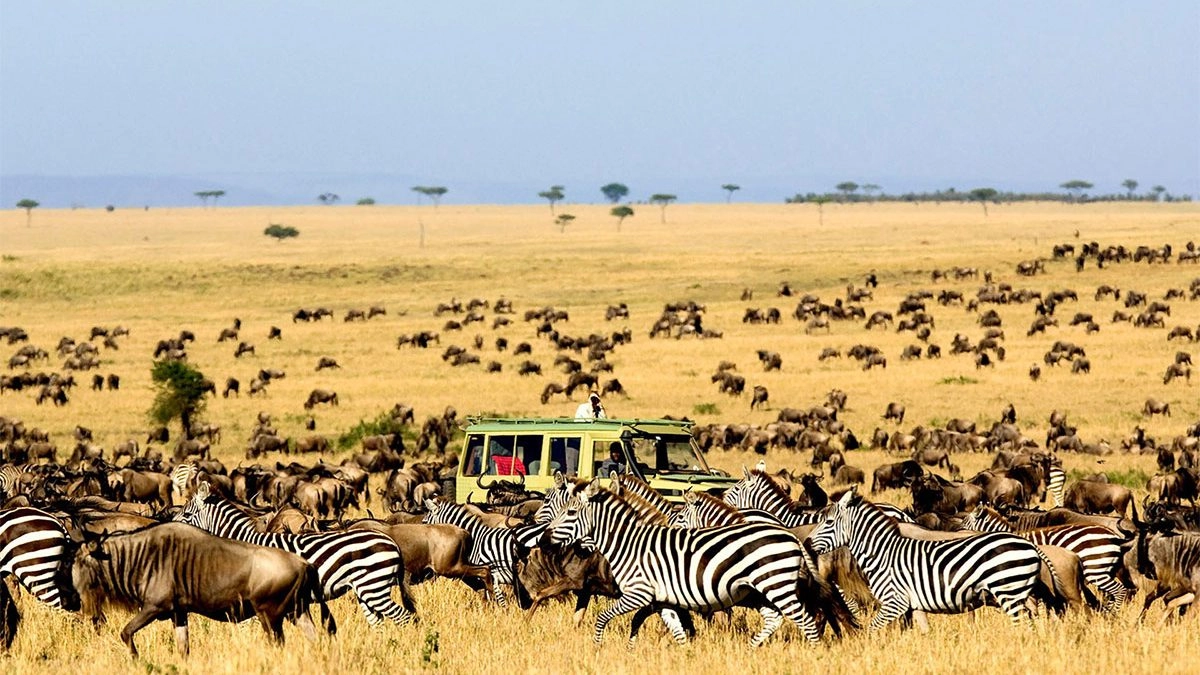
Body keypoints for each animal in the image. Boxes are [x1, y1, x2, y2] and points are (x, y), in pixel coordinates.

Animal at [175, 478, 420, 624]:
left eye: (187, 515)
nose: (170, 527)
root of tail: (390, 541)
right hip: (366, 590)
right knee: (380, 623)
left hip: (374, 586)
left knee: (404, 618)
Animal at [547, 480, 835, 643]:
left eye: (570, 512)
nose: (547, 538)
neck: (628, 544)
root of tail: (789, 534)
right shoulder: (662, 600)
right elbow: (677, 632)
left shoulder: (638, 593)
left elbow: (603, 618)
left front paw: (597, 647)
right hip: (761, 590)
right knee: (775, 619)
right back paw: (753, 649)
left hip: (776, 585)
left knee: (806, 621)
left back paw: (813, 652)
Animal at [811, 485, 1046, 629]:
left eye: (828, 522)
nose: (809, 543)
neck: (883, 553)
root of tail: (1030, 546)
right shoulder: (913, 604)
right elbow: (923, 632)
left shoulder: (894, 601)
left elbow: (873, 629)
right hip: (1017, 592)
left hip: (1009, 591)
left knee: (1024, 622)